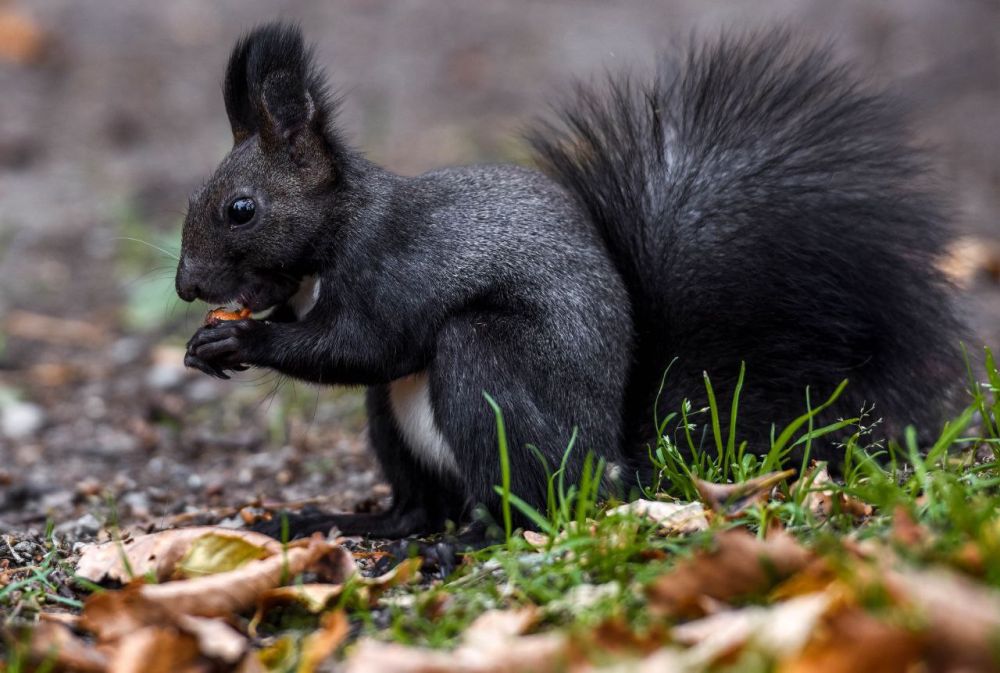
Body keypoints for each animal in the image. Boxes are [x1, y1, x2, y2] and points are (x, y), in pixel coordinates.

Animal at [176, 21, 964, 540]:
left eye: (240, 209)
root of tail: (610, 462)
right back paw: (351, 524)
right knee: (419, 505)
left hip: (487, 361)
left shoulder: (395, 267)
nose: (187, 286)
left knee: (522, 505)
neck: (340, 227)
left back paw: (464, 542)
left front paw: (242, 340)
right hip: (396, 426)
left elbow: (361, 347)